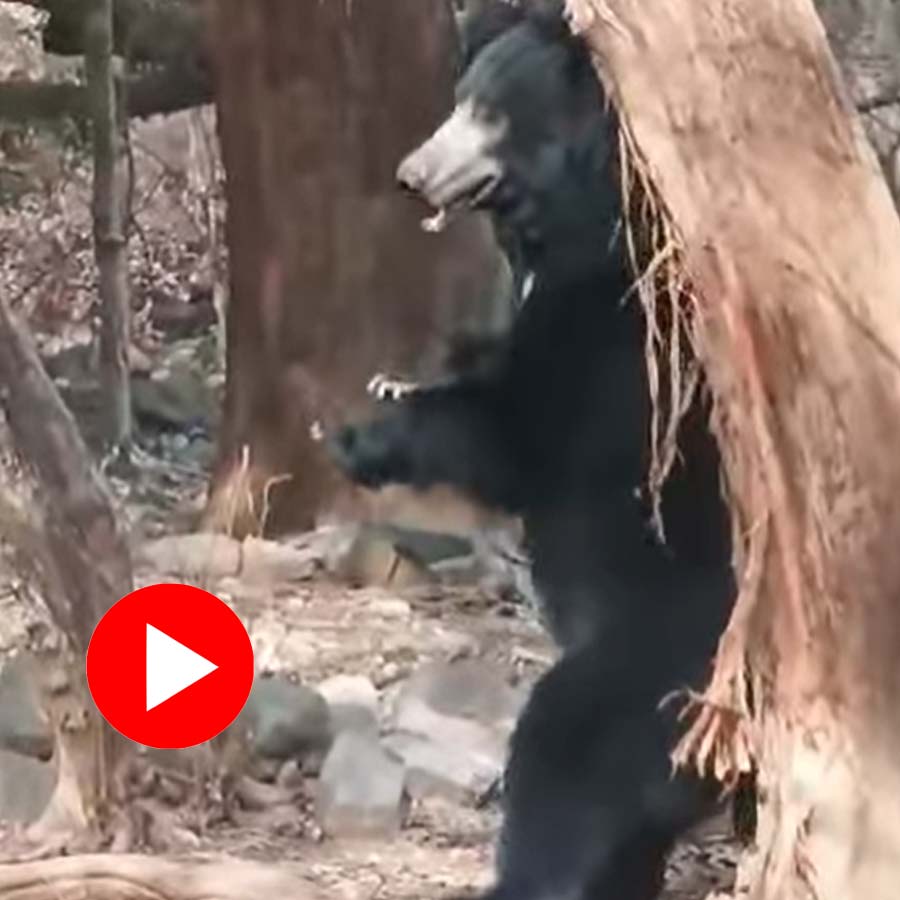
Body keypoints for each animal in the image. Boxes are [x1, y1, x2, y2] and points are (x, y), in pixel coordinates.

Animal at [327, 4, 738, 899]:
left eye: (489, 112)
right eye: (460, 96)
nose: (412, 173)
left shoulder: (616, 329)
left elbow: (514, 430)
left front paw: (361, 430)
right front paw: (390, 382)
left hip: (664, 659)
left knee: (564, 762)